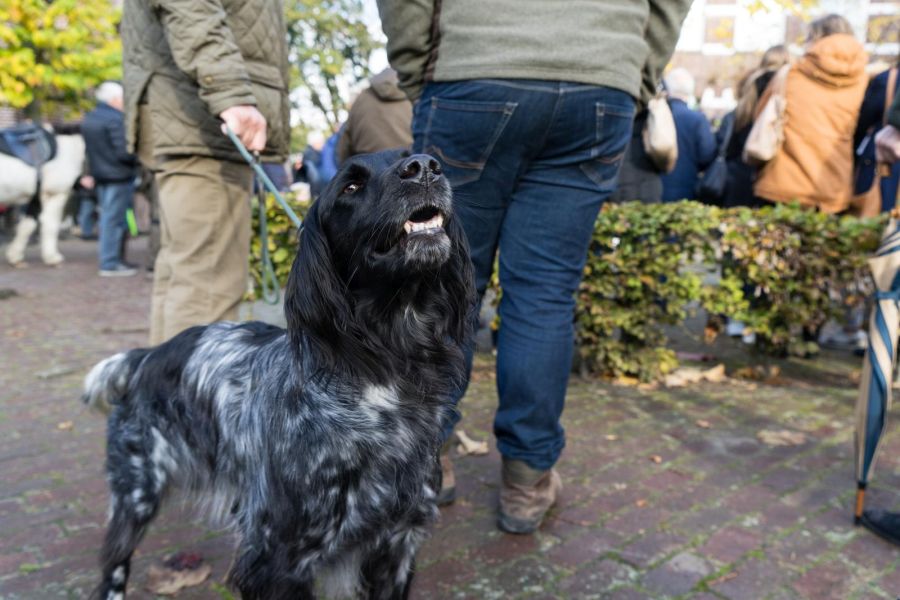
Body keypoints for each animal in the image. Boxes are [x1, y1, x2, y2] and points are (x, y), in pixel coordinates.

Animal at [0, 132, 85, 266]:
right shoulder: (55, 194)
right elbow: (50, 224)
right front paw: (52, 257)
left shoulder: (36, 198)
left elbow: (27, 226)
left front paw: (15, 256)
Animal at [83, 152, 474, 600]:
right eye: (350, 187)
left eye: (415, 156)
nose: (424, 167)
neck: (387, 378)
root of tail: (144, 357)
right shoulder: (279, 559)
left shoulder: (397, 545)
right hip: (136, 494)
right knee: (113, 569)